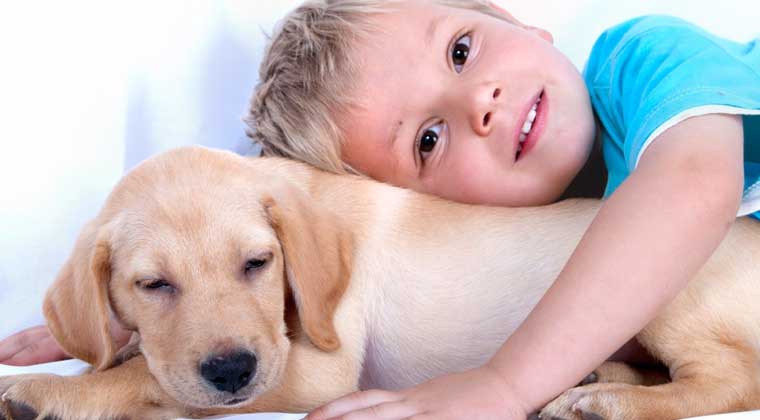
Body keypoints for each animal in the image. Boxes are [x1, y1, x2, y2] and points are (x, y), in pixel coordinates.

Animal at [1, 145, 760, 420]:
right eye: (153, 285)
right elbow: (142, 359)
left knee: (731, 378)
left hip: (668, 285)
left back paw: (605, 402)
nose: (232, 371)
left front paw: (49, 391)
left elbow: (146, 376)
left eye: (257, 263)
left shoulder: (318, 370)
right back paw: (601, 377)